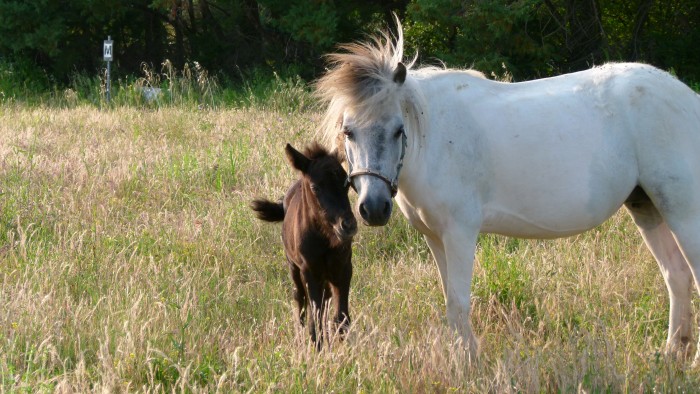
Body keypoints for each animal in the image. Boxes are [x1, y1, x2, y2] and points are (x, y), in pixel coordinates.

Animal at [314, 23, 700, 364]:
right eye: (348, 132)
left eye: (397, 130)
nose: (374, 208)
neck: (433, 135)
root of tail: (688, 99)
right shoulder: (435, 237)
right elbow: (449, 299)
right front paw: (461, 356)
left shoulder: (459, 234)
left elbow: (459, 302)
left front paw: (468, 362)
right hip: (646, 207)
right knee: (676, 277)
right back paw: (672, 353)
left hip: (682, 212)